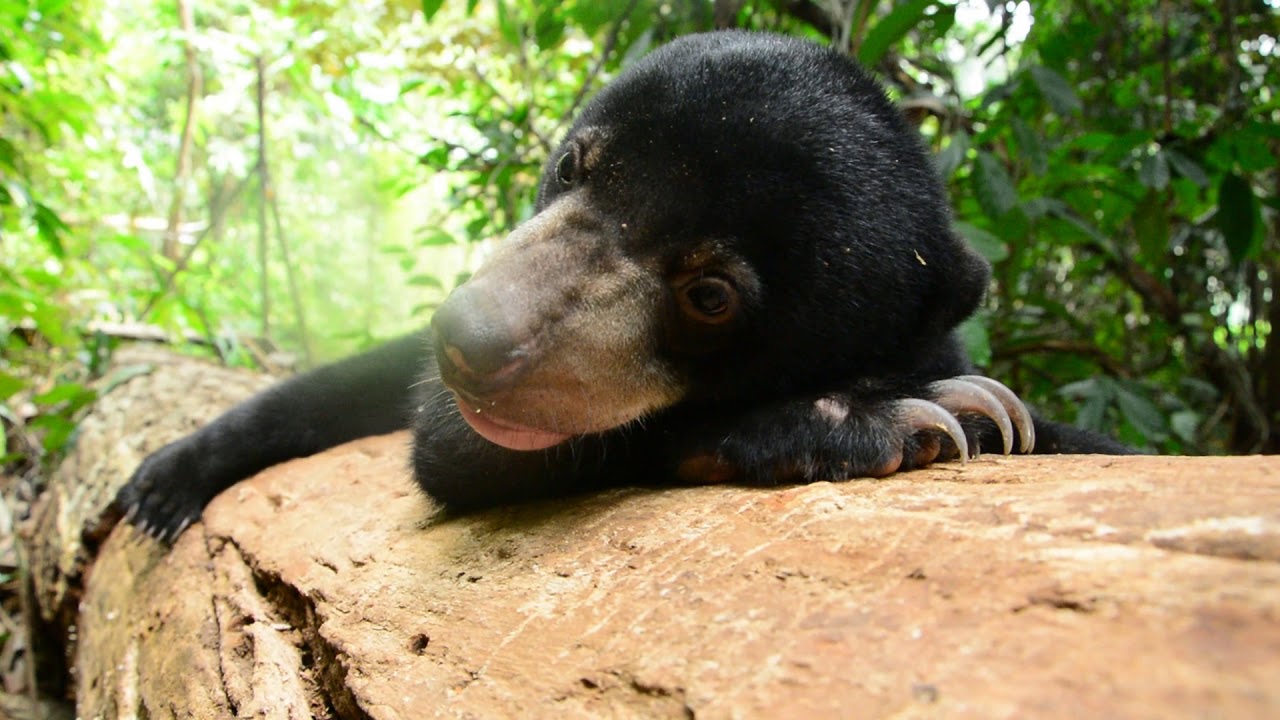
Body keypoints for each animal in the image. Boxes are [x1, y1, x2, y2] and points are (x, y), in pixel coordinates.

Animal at [116, 31, 1131, 542]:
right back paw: (162, 489)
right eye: (575, 164)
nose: (470, 342)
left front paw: (964, 411)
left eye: (710, 295)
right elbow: (457, 446)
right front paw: (896, 416)